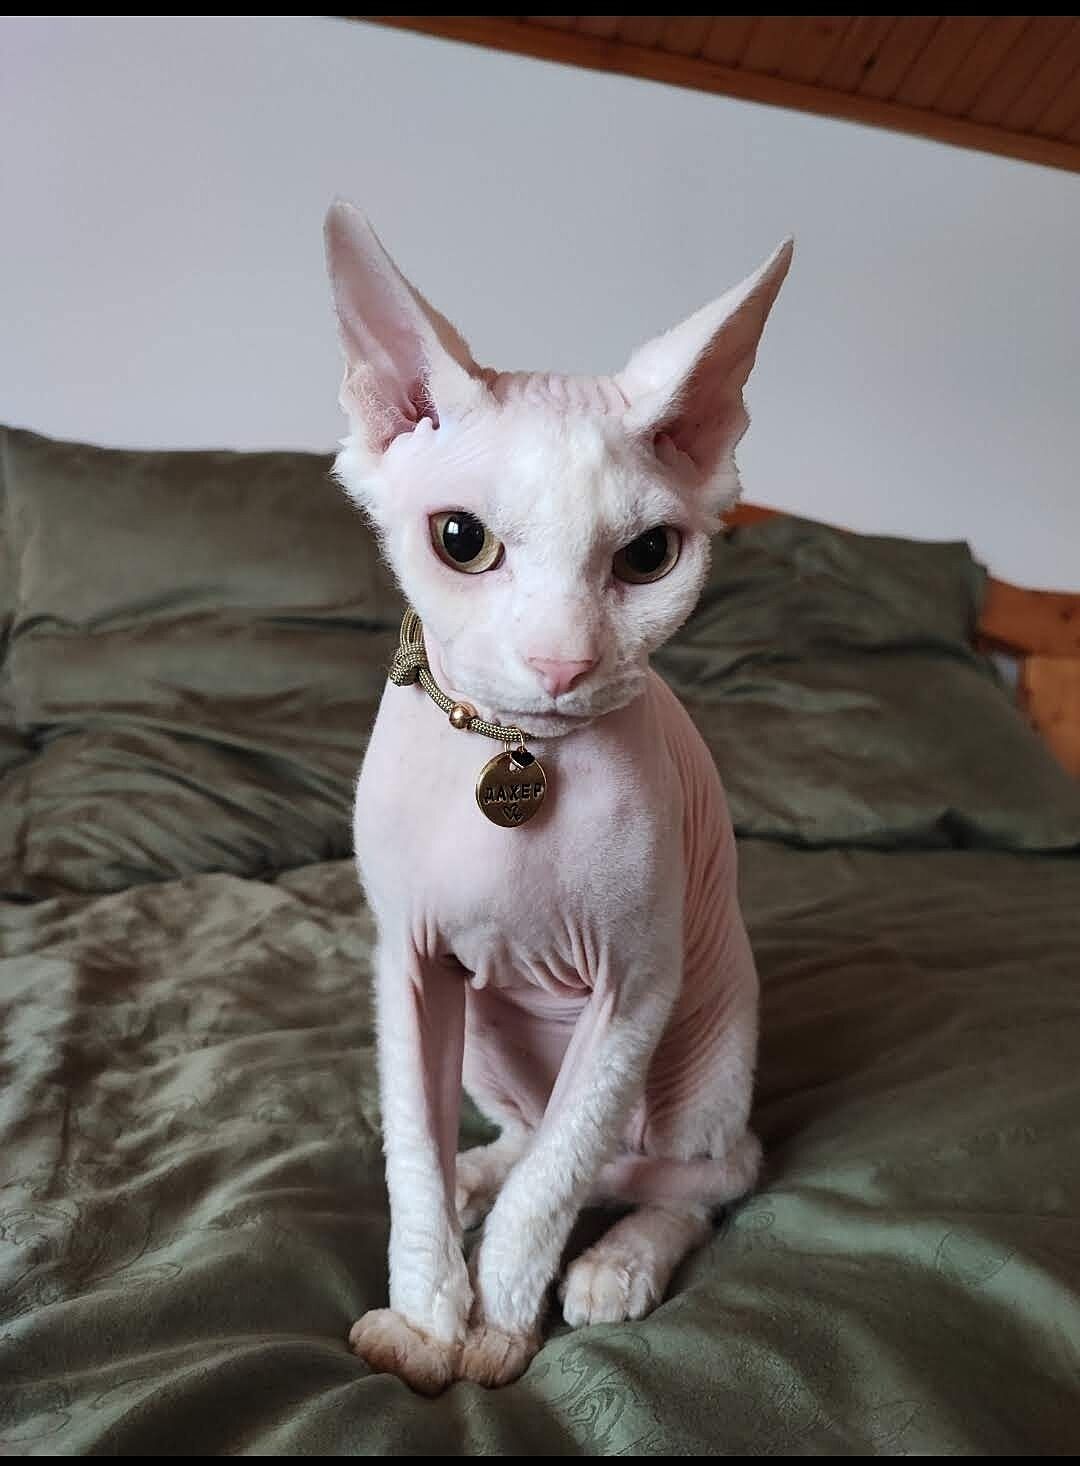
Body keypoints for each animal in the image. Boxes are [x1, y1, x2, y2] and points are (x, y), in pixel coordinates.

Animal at [325, 201, 792, 1394]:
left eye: (649, 556)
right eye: (461, 540)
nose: (561, 662)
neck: (516, 746)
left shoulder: (636, 984)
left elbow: (559, 1185)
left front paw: (497, 1320)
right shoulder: (406, 957)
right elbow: (413, 1151)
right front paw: (426, 1315)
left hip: (706, 1038)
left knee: (698, 1170)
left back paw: (619, 1258)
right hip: (493, 1029)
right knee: (528, 1135)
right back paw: (482, 1172)